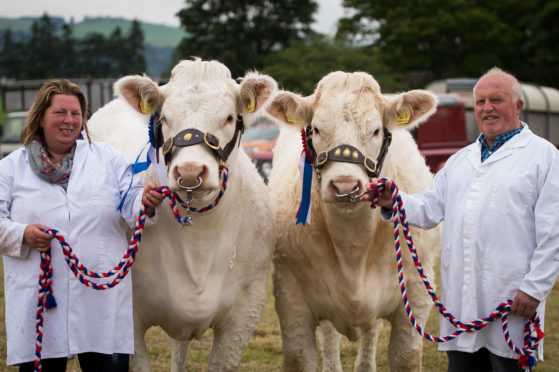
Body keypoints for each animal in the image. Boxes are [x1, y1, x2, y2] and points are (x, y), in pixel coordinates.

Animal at [266, 71, 442, 370]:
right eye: (316, 129)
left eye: (376, 130)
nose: (344, 185)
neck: (352, 246)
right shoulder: (290, 295)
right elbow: (299, 357)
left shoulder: (416, 291)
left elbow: (406, 357)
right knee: (330, 336)